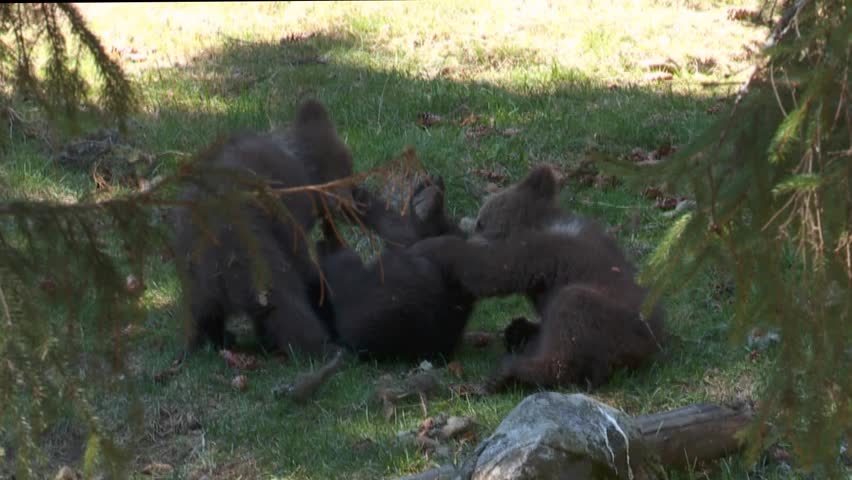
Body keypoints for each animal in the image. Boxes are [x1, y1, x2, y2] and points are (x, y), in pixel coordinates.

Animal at [172, 99, 354, 356]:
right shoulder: (287, 216)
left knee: (200, 314)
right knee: (284, 302)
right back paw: (323, 348)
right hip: (251, 253)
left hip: (194, 273)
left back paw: (213, 340)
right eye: (349, 170)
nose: (353, 206)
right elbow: (303, 264)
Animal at [408, 165, 667, 390]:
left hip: (616, 321)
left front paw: (429, 246)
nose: (474, 231)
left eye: (481, 221)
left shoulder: (540, 252)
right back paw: (519, 332)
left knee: (571, 316)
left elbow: (490, 270)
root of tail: (653, 346)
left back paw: (511, 373)